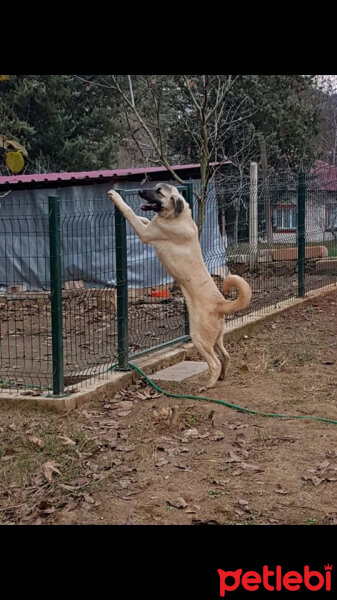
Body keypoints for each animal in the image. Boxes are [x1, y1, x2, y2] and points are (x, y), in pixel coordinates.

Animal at [109, 183, 251, 392]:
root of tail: (221, 303)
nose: (140, 191)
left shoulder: (146, 233)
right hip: (216, 337)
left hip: (199, 337)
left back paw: (208, 384)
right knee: (225, 356)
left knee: (215, 362)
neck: (178, 216)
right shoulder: (150, 226)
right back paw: (221, 377)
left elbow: (130, 213)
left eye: (159, 192)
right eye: (155, 187)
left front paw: (116, 197)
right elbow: (144, 218)